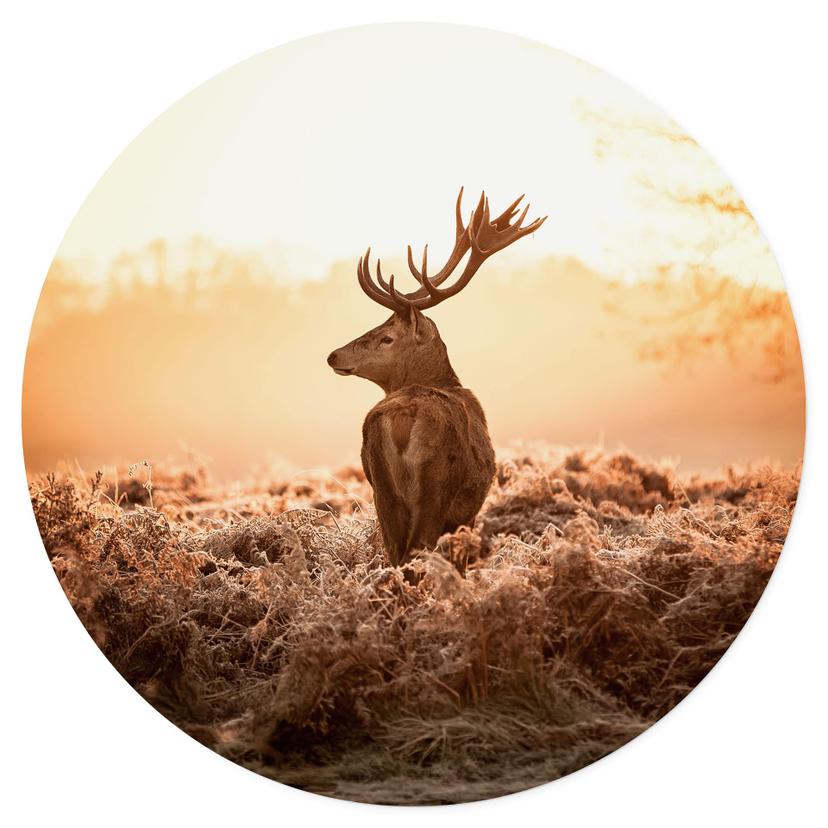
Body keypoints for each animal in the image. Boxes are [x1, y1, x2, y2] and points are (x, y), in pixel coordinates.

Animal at [327, 188, 546, 571]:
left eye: (386, 337)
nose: (334, 355)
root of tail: (401, 418)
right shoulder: (466, 513)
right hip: (436, 486)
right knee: (417, 552)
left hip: (381, 488)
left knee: (394, 553)